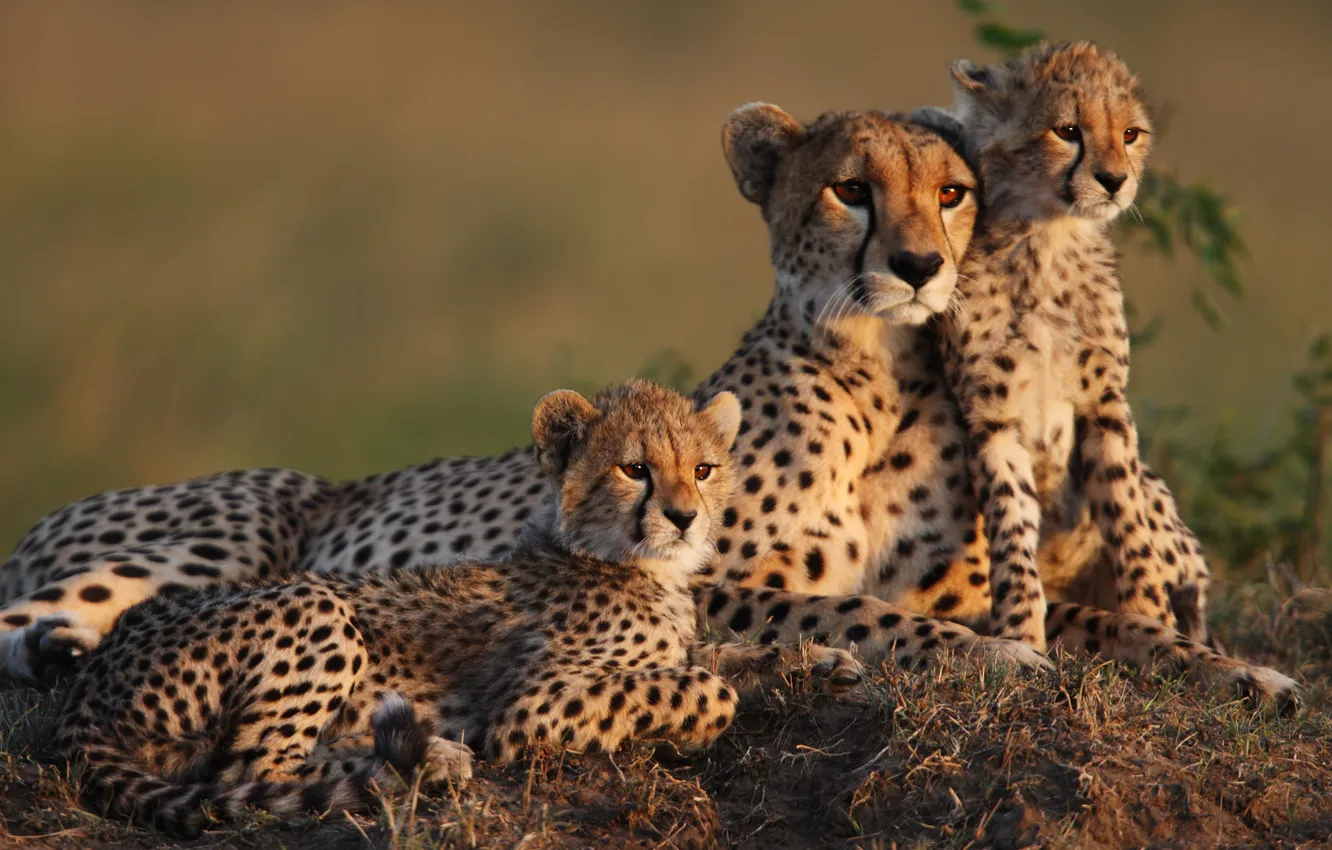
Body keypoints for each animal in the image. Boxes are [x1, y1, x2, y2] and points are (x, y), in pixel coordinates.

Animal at [53, 379, 827, 837]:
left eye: (703, 468)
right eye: (634, 468)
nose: (686, 517)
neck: (625, 561)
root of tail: (93, 675)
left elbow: (720, 653)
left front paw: (818, 663)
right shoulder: (530, 707)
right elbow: (707, 688)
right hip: (316, 606)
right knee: (248, 772)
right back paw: (423, 766)